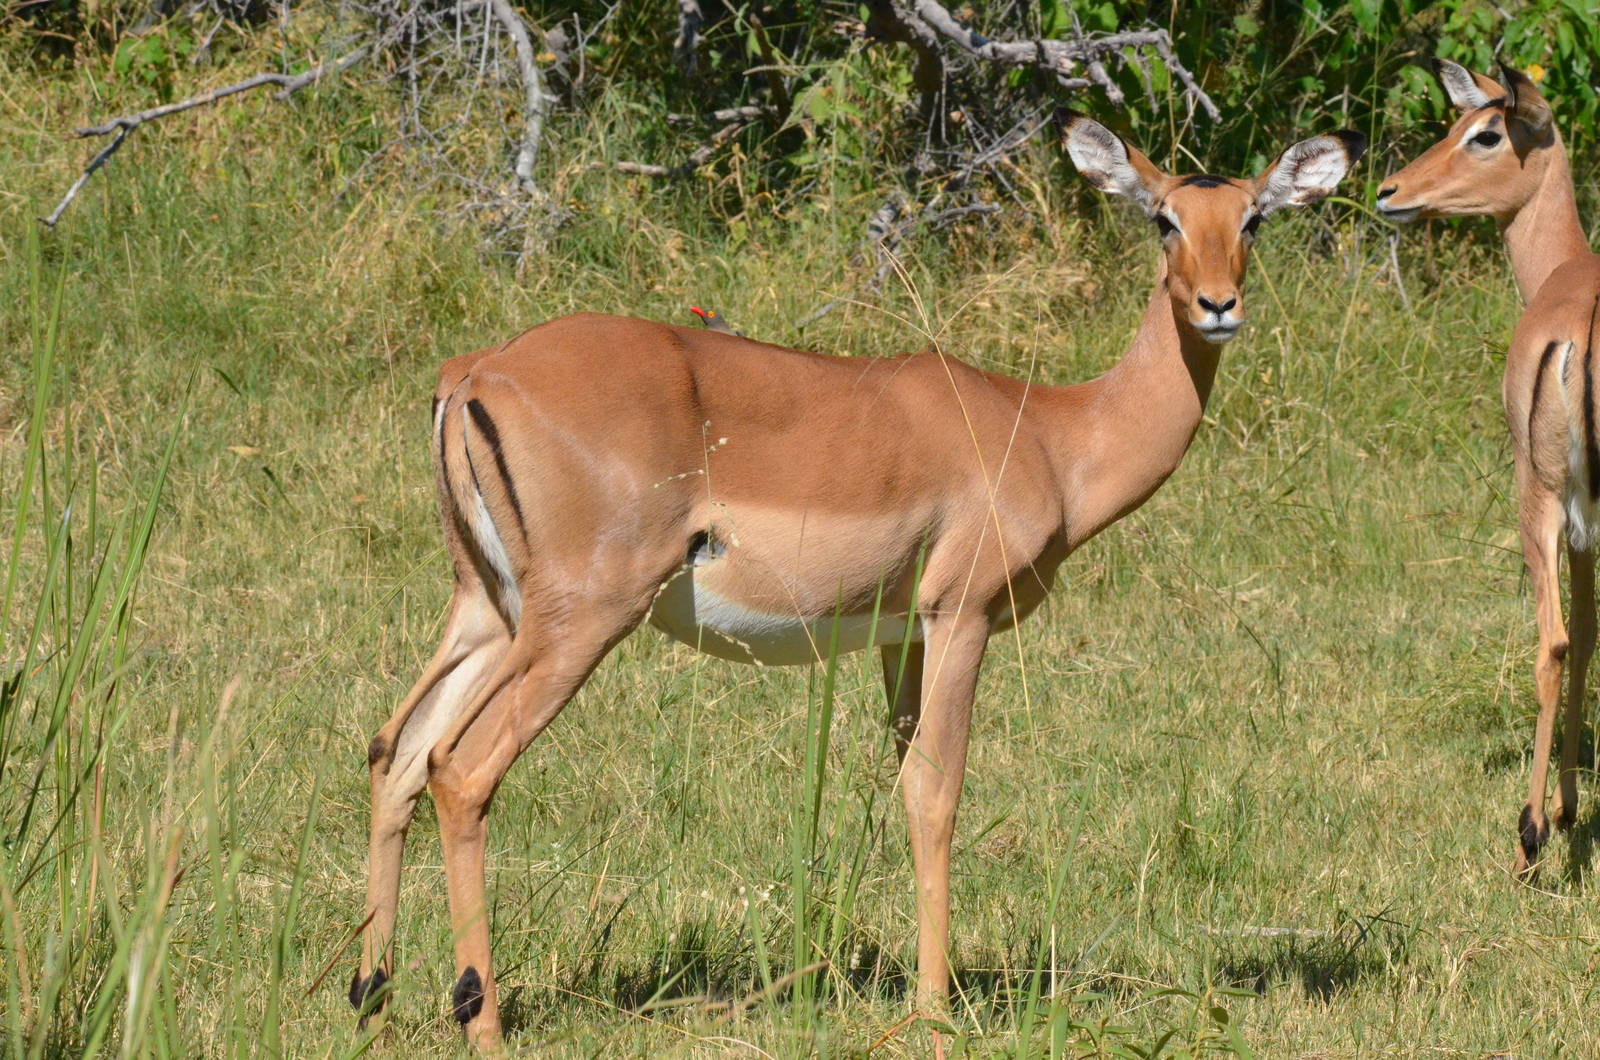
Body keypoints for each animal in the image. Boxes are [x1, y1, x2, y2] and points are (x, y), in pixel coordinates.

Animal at [349, 114, 1365, 1048]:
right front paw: (935, 1013)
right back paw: (481, 1018)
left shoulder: (900, 636)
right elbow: (936, 793)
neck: (1052, 434)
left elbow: (904, 784)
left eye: (1254, 218)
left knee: (397, 749)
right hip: (580, 620)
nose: (1218, 304)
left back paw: (370, 997)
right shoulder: (961, 617)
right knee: (460, 769)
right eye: (1162, 218)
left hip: (489, 612)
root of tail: (475, 373)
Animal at [1378, 60, 1599, 875]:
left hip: (1532, 501)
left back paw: (1529, 838)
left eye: (1486, 133)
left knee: (1551, 645)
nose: (1392, 191)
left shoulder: (1572, 520)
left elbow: (1577, 637)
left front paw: (1559, 814)